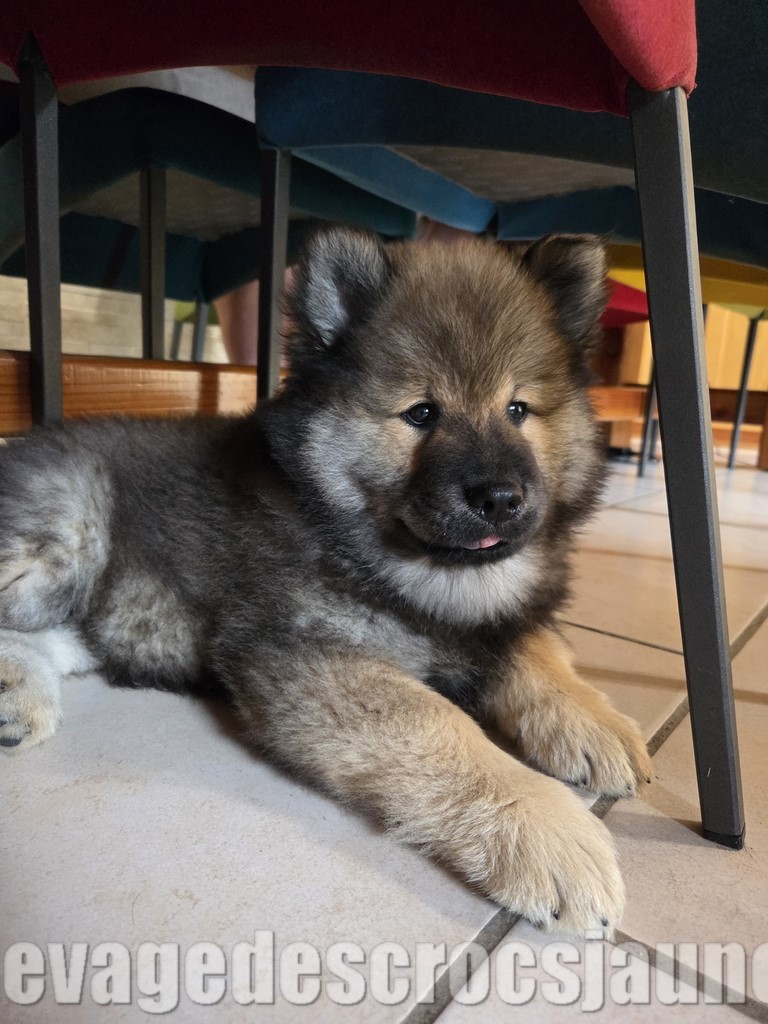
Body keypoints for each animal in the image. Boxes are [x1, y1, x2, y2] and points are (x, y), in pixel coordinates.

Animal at [0, 229, 652, 935]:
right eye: (422, 413)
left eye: (518, 409)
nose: (500, 498)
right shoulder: (309, 653)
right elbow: (441, 724)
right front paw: (549, 829)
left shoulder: (497, 619)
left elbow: (539, 651)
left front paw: (597, 723)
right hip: (67, 532)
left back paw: (16, 701)